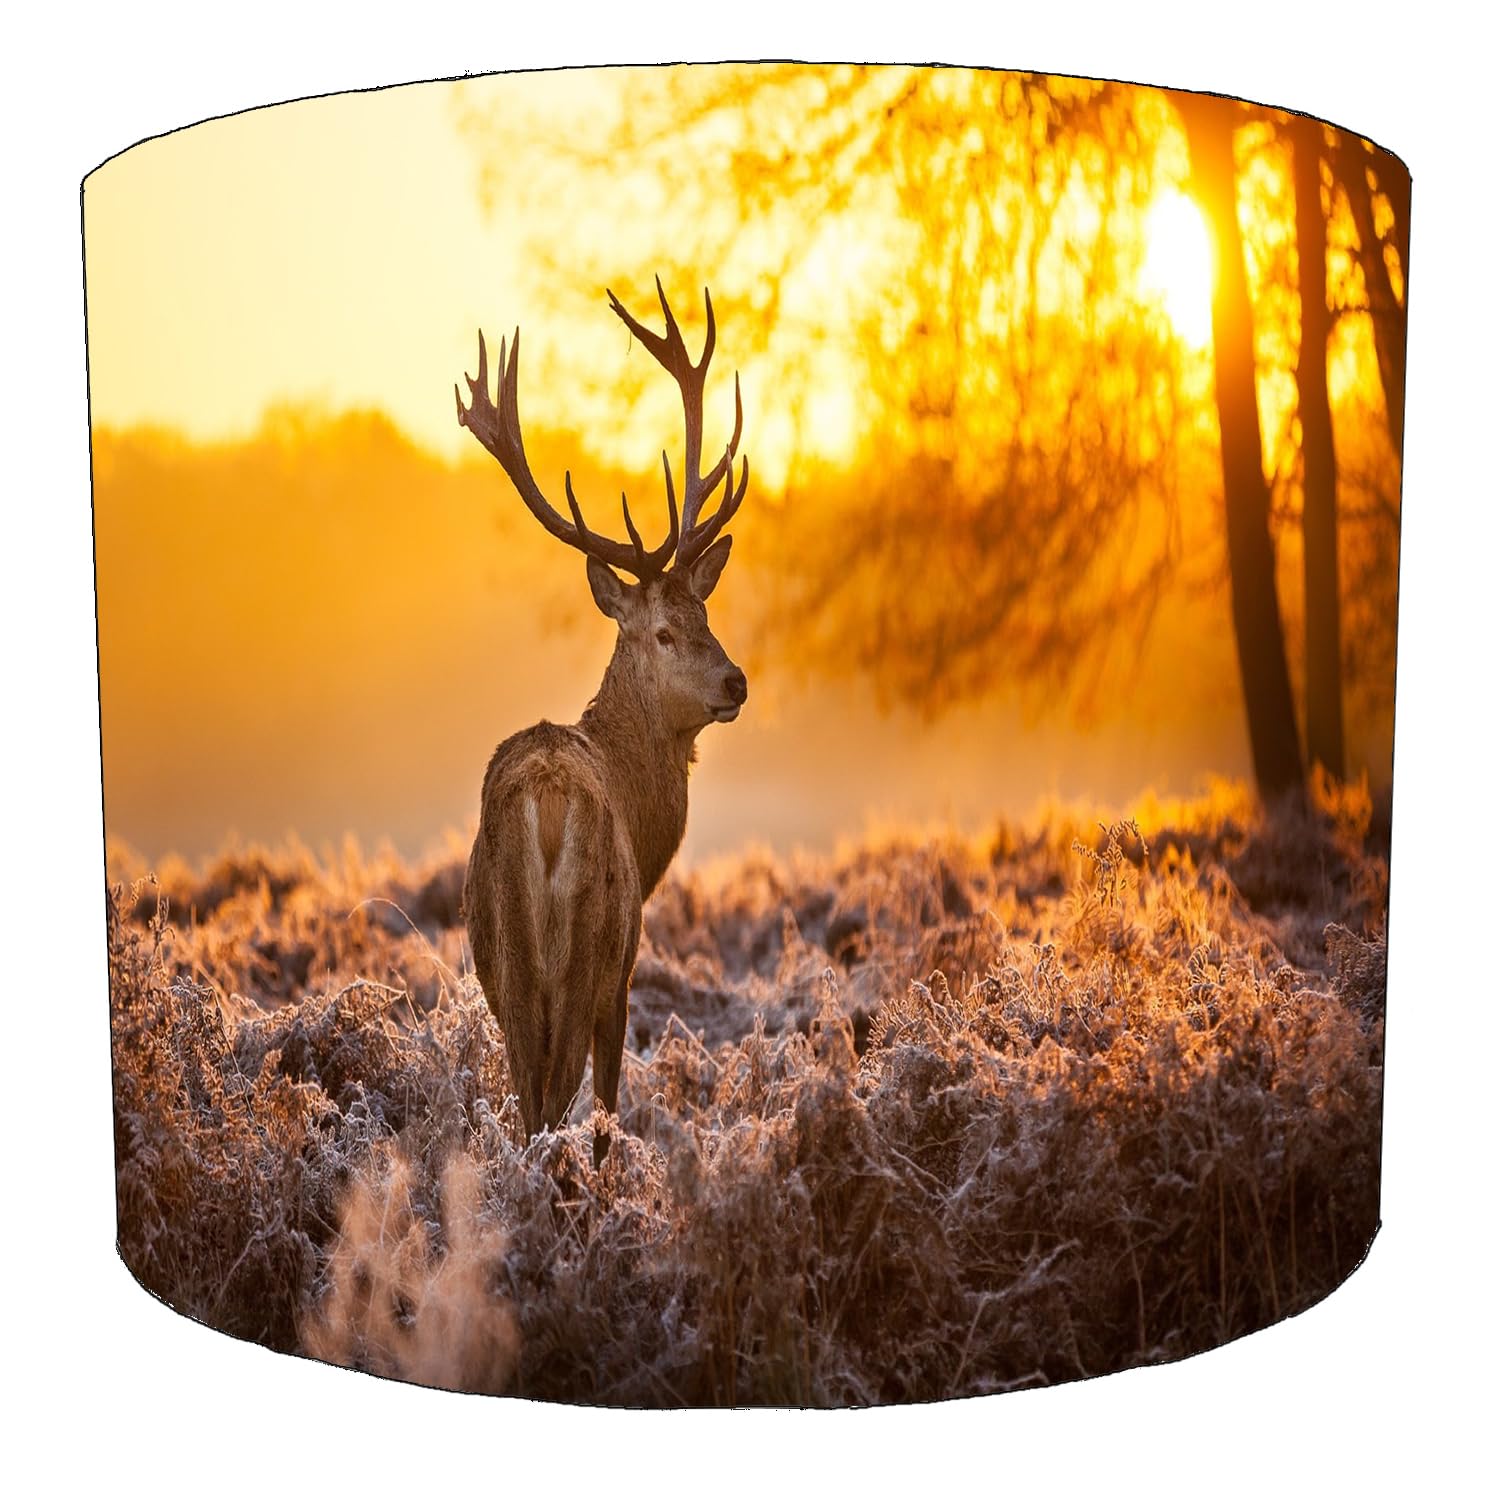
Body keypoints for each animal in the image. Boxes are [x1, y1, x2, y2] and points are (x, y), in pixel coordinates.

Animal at [455, 280, 749, 1166]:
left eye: (705, 612)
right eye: (662, 631)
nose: (736, 679)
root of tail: (548, 805)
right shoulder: (624, 967)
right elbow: (610, 1107)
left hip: (508, 959)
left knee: (528, 1104)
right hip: (583, 951)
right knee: (558, 1105)